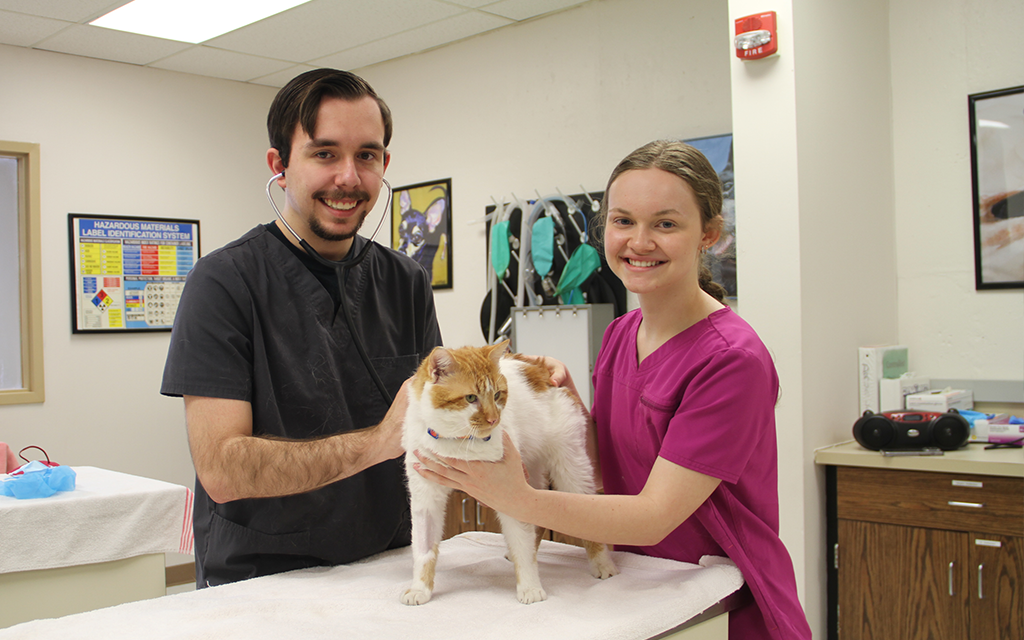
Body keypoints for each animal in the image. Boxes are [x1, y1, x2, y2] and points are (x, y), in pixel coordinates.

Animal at [399, 339, 614, 602]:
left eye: (497, 395)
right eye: (471, 397)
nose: (494, 420)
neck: (458, 443)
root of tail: (542, 370)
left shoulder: (507, 491)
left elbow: (523, 544)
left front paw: (530, 587)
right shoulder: (425, 497)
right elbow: (424, 549)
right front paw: (420, 588)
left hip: (570, 468)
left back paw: (602, 564)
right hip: (531, 473)